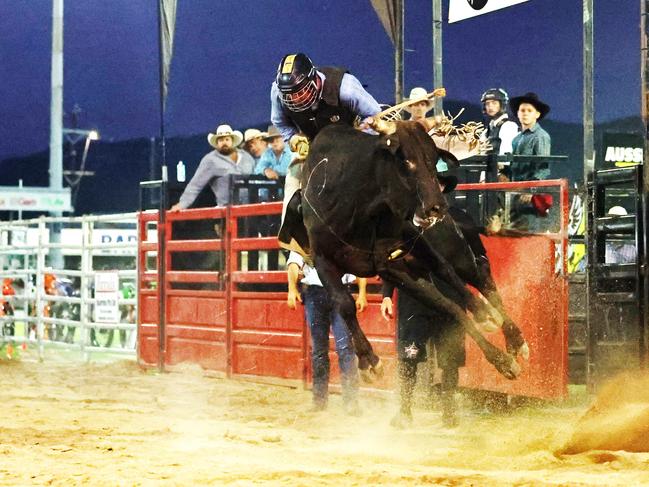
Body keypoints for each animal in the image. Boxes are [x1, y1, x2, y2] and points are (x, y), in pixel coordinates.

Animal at [300, 122, 520, 382]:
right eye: (405, 161)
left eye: (433, 160)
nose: (436, 207)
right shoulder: (325, 260)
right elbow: (344, 304)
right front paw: (369, 361)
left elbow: (446, 273)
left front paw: (485, 314)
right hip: (411, 274)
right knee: (448, 303)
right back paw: (503, 358)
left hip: (455, 252)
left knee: (479, 278)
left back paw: (511, 335)